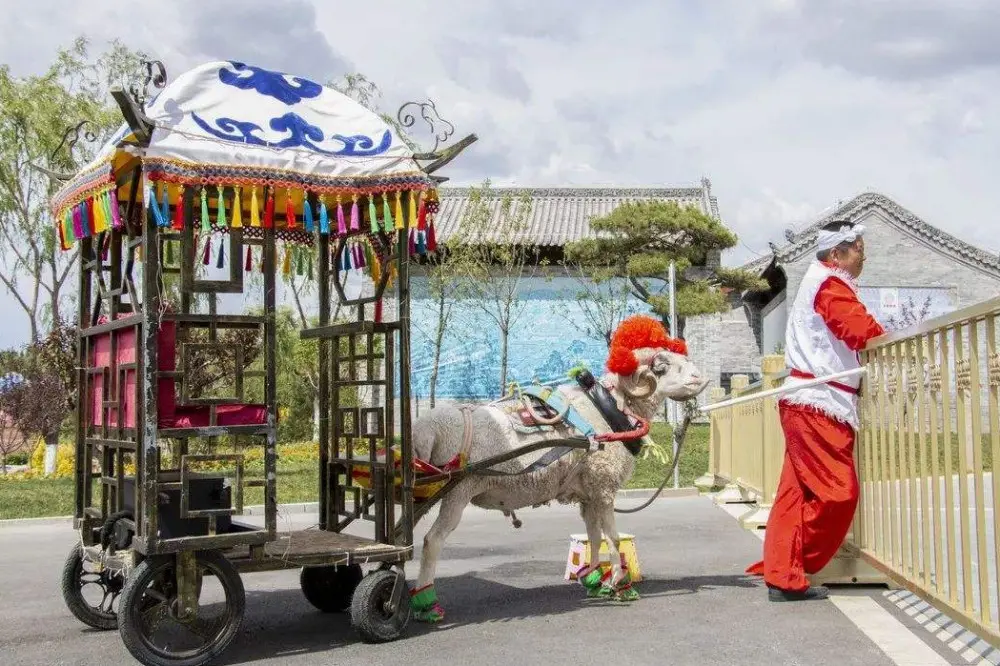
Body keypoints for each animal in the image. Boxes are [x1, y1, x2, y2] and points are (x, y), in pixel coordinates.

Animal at [406, 314, 712, 620]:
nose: (701, 378)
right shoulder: (604, 486)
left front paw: (594, 579)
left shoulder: (589, 494)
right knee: (432, 541)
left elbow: (594, 537)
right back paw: (427, 603)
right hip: (458, 490)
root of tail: (426, 427)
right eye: (662, 366)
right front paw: (619, 584)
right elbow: (613, 538)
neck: (610, 409)